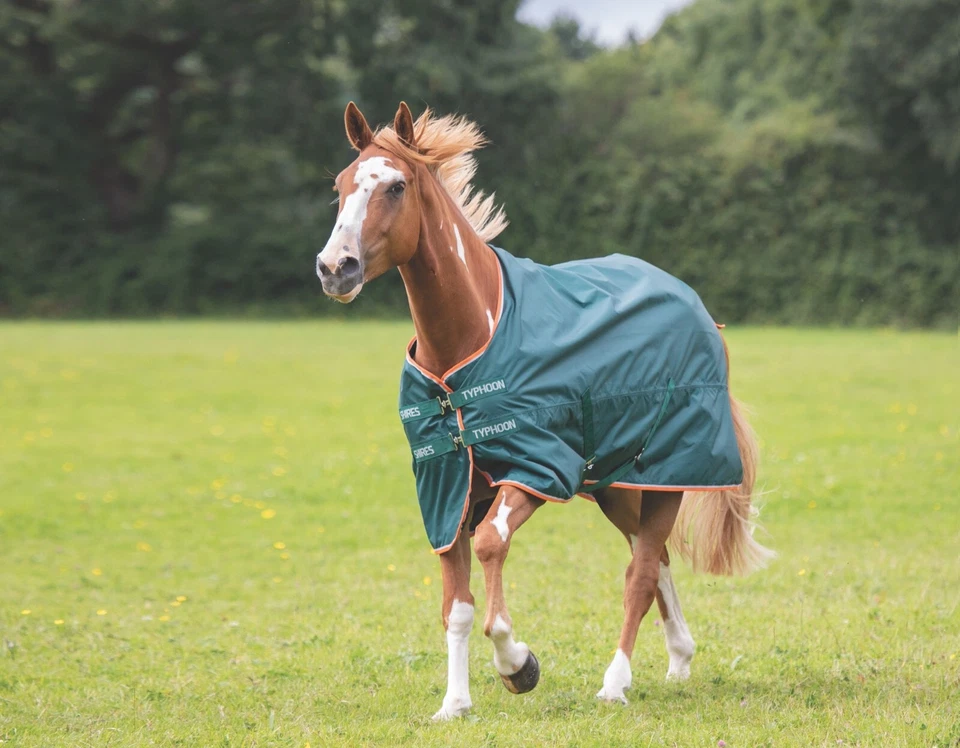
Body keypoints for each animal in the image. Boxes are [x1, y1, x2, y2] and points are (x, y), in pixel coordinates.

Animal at [316, 101, 775, 720]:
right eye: (340, 186)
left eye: (396, 185)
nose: (334, 267)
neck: (470, 342)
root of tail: (704, 316)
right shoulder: (446, 487)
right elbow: (456, 606)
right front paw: (454, 703)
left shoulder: (535, 470)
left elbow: (491, 546)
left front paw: (518, 665)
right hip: (616, 486)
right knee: (654, 562)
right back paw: (679, 658)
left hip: (667, 479)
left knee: (640, 573)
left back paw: (615, 682)